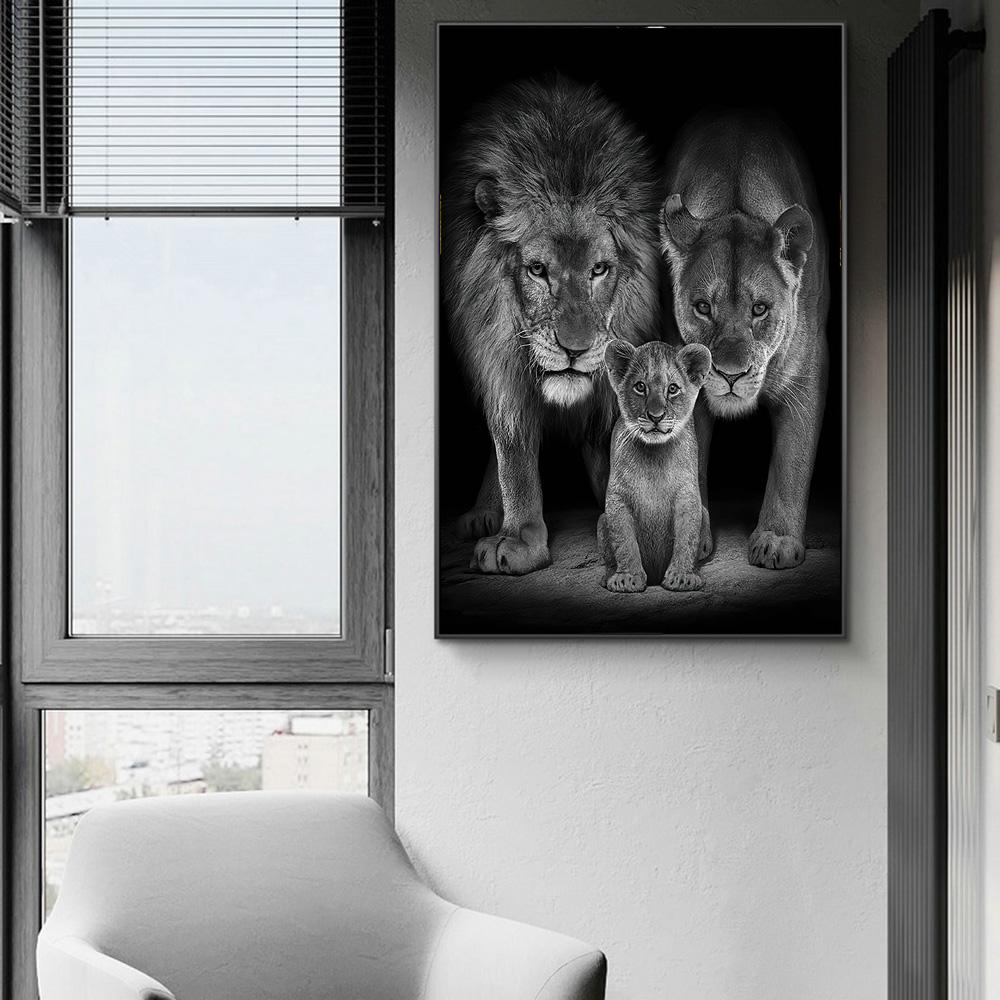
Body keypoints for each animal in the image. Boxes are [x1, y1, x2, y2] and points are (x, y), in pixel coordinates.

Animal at [442, 77, 660, 575]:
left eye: (599, 269)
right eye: (538, 270)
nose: (575, 350)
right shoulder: (498, 358)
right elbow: (512, 449)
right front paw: (517, 537)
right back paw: (484, 513)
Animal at [659, 113, 830, 570]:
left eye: (760, 309)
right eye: (703, 307)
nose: (731, 375)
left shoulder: (807, 376)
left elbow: (791, 462)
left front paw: (777, 540)